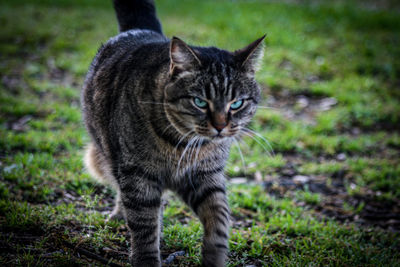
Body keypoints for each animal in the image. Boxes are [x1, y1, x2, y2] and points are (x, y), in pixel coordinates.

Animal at [81, 0, 264, 266]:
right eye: (200, 102)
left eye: (237, 103)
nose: (220, 126)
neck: (184, 144)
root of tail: (143, 30)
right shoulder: (138, 176)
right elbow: (144, 226)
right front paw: (146, 259)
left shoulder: (205, 176)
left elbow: (219, 217)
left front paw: (215, 256)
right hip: (108, 155)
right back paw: (120, 215)